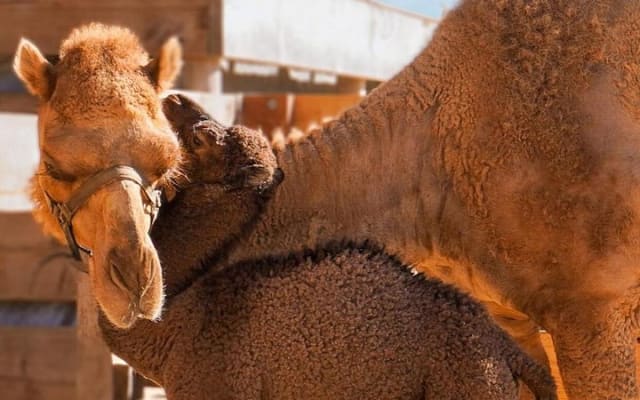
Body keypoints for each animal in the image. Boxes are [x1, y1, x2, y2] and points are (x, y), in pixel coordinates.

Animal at [99, 94, 556, 400]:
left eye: (202, 139)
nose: (173, 98)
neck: (184, 319)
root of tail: (506, 351)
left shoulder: (217, 383)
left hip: (469, 382)